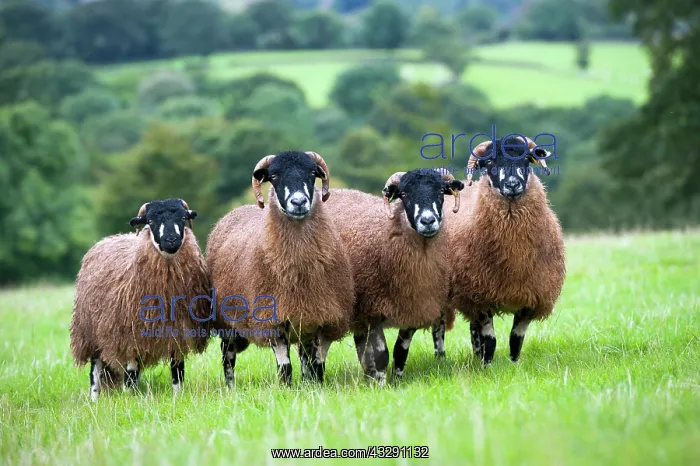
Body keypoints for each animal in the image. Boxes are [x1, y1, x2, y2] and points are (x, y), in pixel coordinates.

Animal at [69, 198, 211, 401]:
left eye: (183, 218)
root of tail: (106, 239)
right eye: (150, 221)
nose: (171, 240)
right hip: (91, 334)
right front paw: (130, 400)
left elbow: (177, 370)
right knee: (95, 372)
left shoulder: (178, 332)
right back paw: (95, 400)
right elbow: (130, 374)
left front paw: (178, 397)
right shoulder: (130, 335)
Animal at [206, 150, 354, 387]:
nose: (299, 202)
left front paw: (313, 388)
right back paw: (230, 388)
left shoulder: (322, 320)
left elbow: (316, 366)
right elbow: (285, 368)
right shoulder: (271, 321)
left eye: (312, 173)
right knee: (227, 357)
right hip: (227, 324)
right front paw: (287, 389)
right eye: (274, 176)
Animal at [323, 168, 465, 383]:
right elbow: (381, 353)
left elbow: (400, 350)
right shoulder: (373, 308)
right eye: (404, 193)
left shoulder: (413, 307)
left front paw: (397, 379)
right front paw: (381, 383)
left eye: (441, 191)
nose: (428, 221)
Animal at [435, 135, 566, 365]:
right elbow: (491, 339)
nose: (512, 184)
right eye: (490, 162)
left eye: (526, 159)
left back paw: (475, 356)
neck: (514, 252)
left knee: (473, 329)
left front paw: (513, 364)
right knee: (439, 327)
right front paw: (488, 366)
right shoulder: (481, 294)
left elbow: (516, 337)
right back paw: (442, 359)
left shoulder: (532, 296)